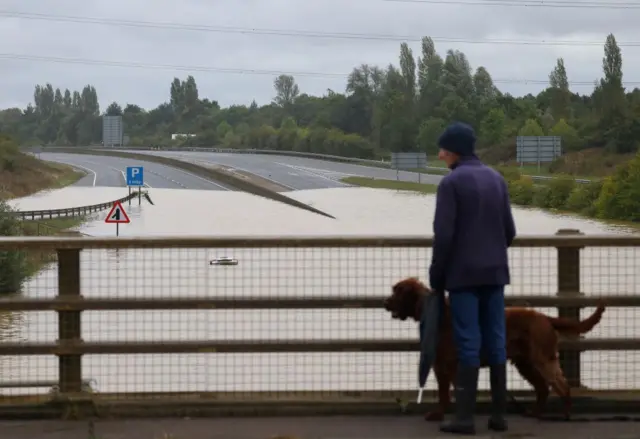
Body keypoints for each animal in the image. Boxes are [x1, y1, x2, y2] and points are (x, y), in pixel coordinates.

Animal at [384, 278, 604, 422]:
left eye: (399, 290)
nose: (385, 302)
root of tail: (545, 318)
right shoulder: (440, 365)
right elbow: (444, 393)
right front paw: (440, 414)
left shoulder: (451, 365)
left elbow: (453, 393)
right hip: (525, 363)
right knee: (543, 388)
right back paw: (536, 413)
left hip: (541, 359)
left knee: (561, 385)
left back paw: (566, 414)